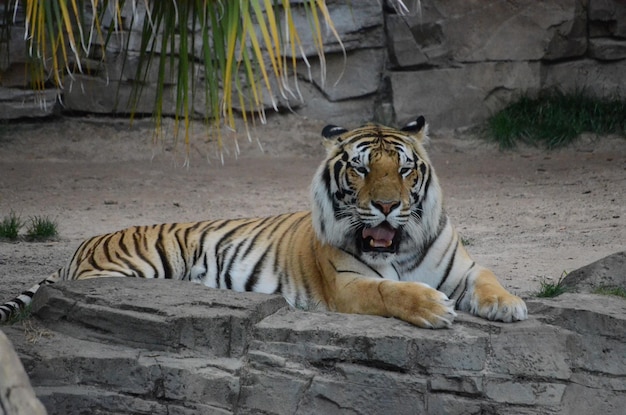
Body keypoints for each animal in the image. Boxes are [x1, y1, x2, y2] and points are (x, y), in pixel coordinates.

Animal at [1, 117, 528, 328]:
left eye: (402, 169)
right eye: (360, 169)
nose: (384, 206)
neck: (398, 246)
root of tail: (80, 244)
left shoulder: (462, 267)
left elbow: (488, 277)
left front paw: (509, 305)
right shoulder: (347, 285)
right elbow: (389, 290)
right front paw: (433, 307)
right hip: (132, 268)